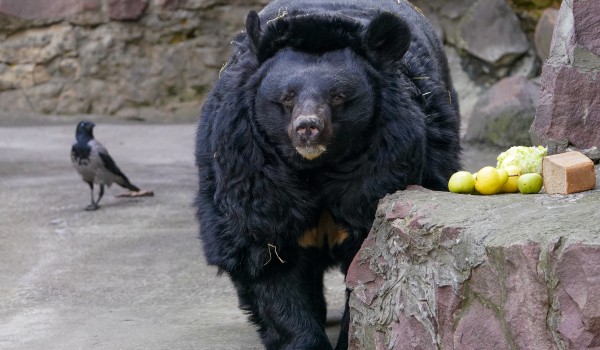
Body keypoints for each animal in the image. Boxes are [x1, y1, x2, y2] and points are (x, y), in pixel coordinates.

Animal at [195, 1, 462, 348]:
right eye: (287, 97)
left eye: (338, 97)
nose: (308, 127)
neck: (317, 166)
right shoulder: (249, 168)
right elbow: (265, 252)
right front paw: (304, 339)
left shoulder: (385, 162)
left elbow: (367, 258)